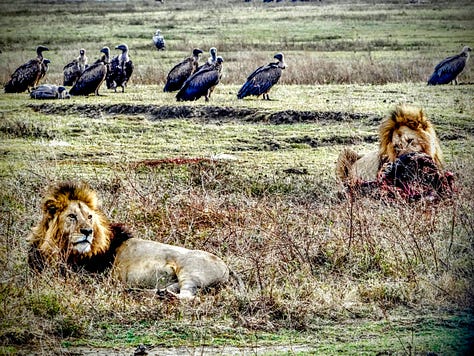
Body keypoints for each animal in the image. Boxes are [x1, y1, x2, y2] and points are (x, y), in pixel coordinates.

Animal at [26, 181, 231, 300]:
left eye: (90, 217)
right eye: (72, 216)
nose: (88, 231)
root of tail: (227, 267)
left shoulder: (85, 276)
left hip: (190, 269)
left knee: (189, 296)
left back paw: (163, 296)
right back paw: (149, 292)